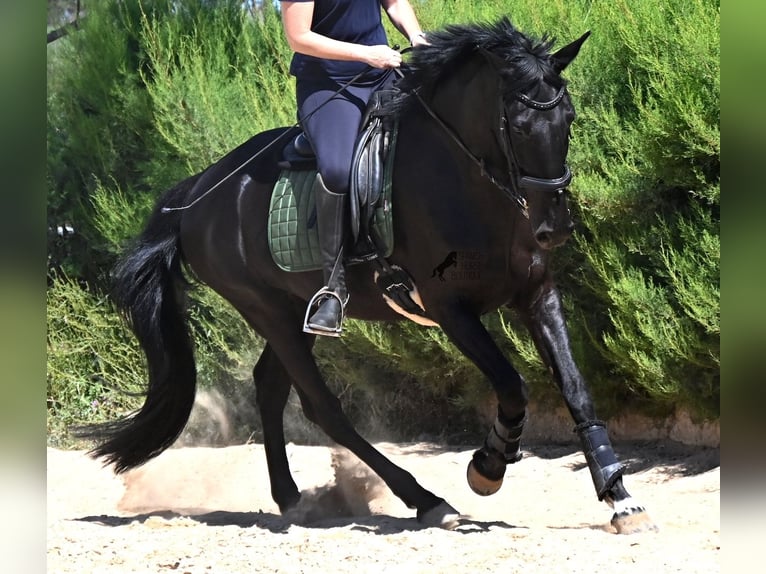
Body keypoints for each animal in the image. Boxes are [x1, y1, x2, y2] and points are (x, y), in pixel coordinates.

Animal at [79, 17, 656, 534]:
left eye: (569, 118)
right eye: (515, 126)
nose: (554, 228)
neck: (465, 179)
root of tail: (198, 192)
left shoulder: (537, 293)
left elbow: (576, 389)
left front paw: (620, 497)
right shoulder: (450, 308)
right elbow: (512, 386)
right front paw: (487, 467)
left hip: (291, 310)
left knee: (271, 387)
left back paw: (291, 499)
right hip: (266, 309)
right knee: (323, 408)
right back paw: (425, 500)